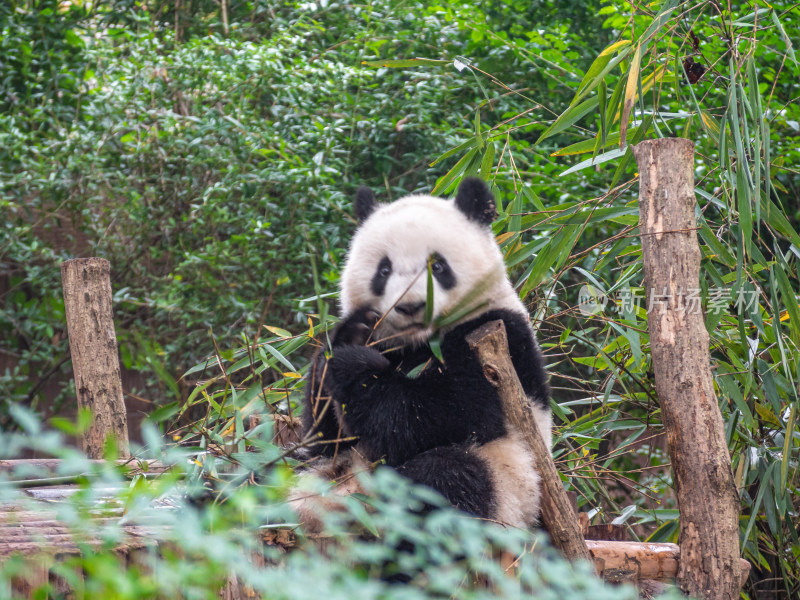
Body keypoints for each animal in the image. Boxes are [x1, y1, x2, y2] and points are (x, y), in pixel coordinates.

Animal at [294, 176, 552, 528]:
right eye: (384, 270)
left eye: (438, 266)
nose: (411, 306)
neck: (420, 341)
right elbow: (324, 435)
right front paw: (352, 336)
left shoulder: (497, 343)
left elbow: (439, 416)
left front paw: (354, 367)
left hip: (510, 485)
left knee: (447, 478)